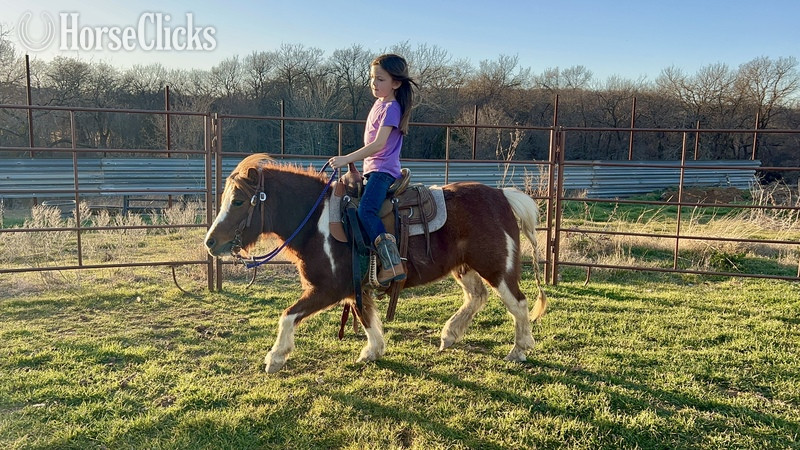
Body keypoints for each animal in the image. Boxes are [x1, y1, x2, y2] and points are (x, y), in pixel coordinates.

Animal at [204, 153, 547, 373]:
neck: (316, 222)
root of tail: (501, 196)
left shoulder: (327, 289)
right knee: (477, 297)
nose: (210, 242)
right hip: (465, 267)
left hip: (497, 267)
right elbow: (365, 315)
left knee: (518, 303)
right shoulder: (352, 288)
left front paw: (275, 358)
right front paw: (373, 350)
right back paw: (450, 334)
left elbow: (287, 316)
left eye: (237, 201)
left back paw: (519, 349)